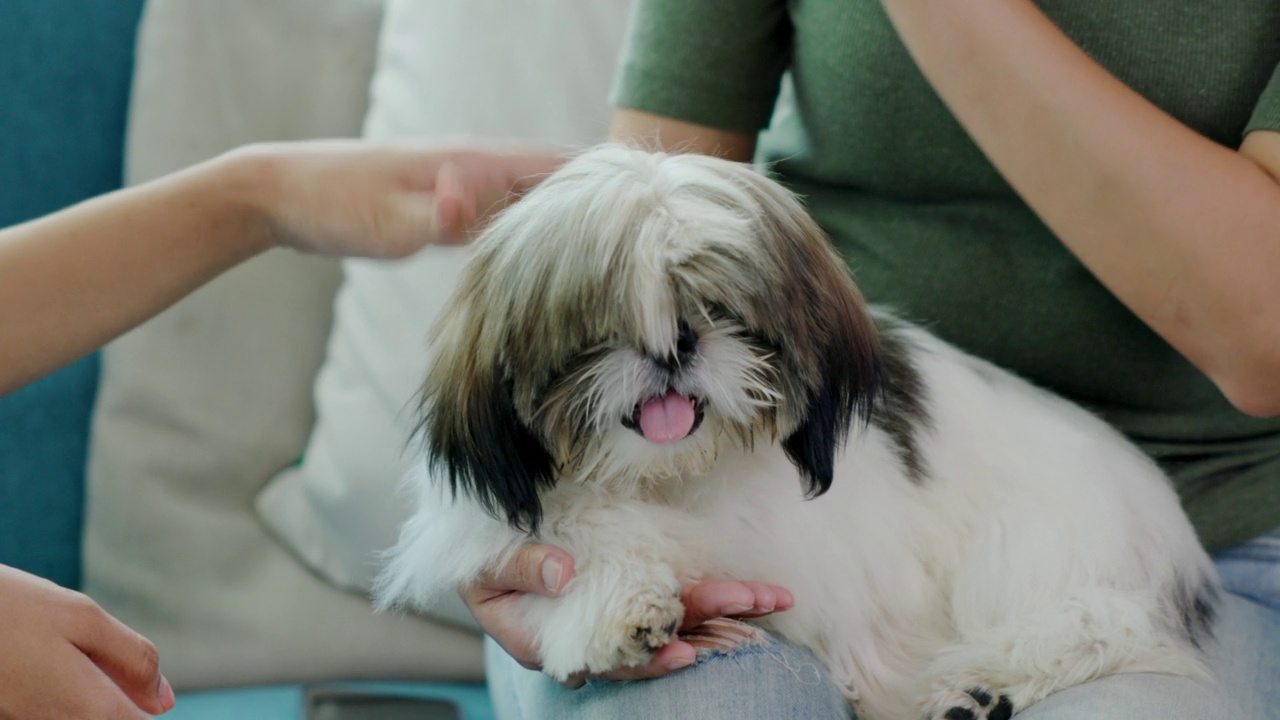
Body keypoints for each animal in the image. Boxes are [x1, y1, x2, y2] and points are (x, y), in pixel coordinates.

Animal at [376, 142, 1218, 712]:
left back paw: (978, 685)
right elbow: (559, 529)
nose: (673, 344)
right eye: (601, 327)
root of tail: (1176, 537)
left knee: (1095, 626)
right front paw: (619, 605)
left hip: (1037, 552)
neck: (667, 476)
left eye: (718, 307)